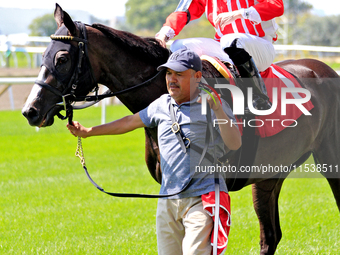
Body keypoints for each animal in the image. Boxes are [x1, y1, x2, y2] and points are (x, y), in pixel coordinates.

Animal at [21, 4, 340, 255]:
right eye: (43, 55)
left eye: (62, 58)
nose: (30, 110)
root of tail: (325, 69)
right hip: (269, 175)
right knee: (270, 237)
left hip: (329, 160)